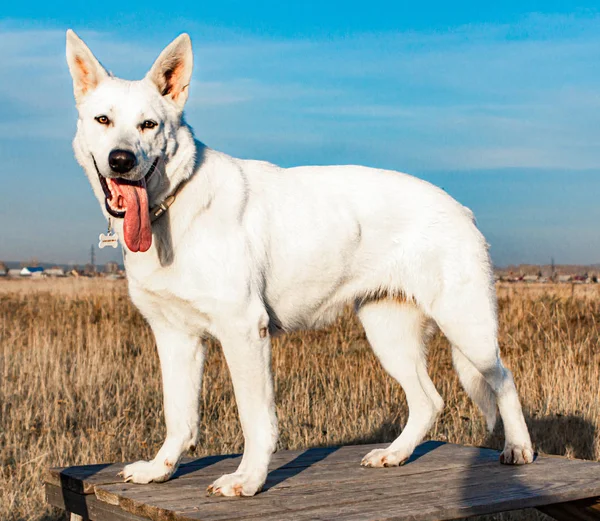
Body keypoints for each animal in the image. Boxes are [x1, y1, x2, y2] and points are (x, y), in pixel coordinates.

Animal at [65, 29, 536, 496]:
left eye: (149, 125)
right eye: (103, 121)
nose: (121, 160)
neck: (173, 204)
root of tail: (460, 208)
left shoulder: (244, 331)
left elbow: (256, 419)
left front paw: (248, 479)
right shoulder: (175, 337)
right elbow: (178, 416)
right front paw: (160, 470)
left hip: (466, 327)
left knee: (504, 379)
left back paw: (518, 449)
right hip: (389, 334)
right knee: (428, 400)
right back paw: (395, 454)